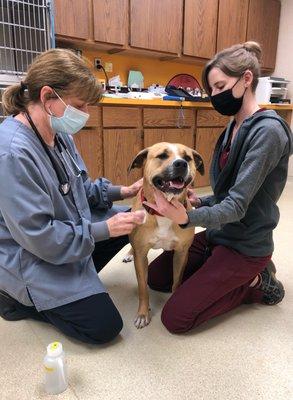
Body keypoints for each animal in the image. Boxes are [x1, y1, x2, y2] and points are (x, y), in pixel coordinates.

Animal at [126, 143, 204, 328]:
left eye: (188, 158)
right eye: (162, 156)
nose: (181, 164)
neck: (163, 213)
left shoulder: (182, 253)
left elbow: (177, 280)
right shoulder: (141, 256)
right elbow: (143, 288)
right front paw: (143, 313)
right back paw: (129, 253)